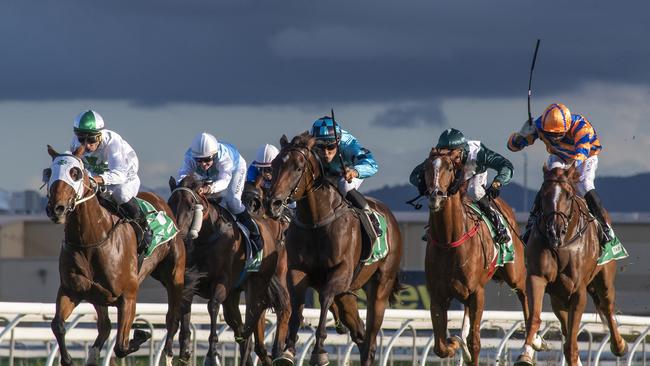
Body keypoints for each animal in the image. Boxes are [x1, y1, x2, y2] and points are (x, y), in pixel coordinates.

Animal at [46, 144, 184, 364]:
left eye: (75, 173)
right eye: (49, 172)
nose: (56, 208)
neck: (90, 241)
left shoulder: (128, 297)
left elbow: (121, 346)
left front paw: (142, 333)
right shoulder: (71, 289)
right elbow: (57, 325)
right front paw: (67, 359)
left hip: (174, 275)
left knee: (172, 319)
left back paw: (168, 353)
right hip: (97, 296)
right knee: (104, 327)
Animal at [167, 176, 288, 364]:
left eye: (190, 206)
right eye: (170, 203)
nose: (178, 234)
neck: (206, 234)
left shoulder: (221, 282)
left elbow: (212, 306)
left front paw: (212, 354)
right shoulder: (189, 281)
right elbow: (184, 308)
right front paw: (184, 352)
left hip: (256, 289)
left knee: (250, 328)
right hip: (233, 297)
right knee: (241, 333)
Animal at [268, 134, 400, 366]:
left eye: (298, 167)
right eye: (274, 164)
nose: (274, 203)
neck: (316, 221)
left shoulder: (341, 272)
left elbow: (324, 298)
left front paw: (319, 351)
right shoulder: (297, 271)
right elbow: (297, 306)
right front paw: (288, 350)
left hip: (381, 287)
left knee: (371, 337)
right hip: (347, 295)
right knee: (361, 336)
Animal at [422, 147, 528, 364]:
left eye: (449, 167)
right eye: (426, 167)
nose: (435, 195)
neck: (449, 240)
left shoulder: (477, 293)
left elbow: (475, 341)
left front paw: (464, 347)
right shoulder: (437, 295)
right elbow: (440, 346)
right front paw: (454, 344)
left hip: (515, 274)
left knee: (525, 295)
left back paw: (534, 339)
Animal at [512, 166, 624, 366]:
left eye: (569, 195)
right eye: (543, 194)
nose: (554, 230)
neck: (561, 243)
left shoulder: (578, 291)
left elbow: (572, 341)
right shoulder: (537, 277)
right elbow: (534, 317)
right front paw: (526, 353)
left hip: (604, 279)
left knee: (607, 307)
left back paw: (618, 345)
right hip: (559, 297)